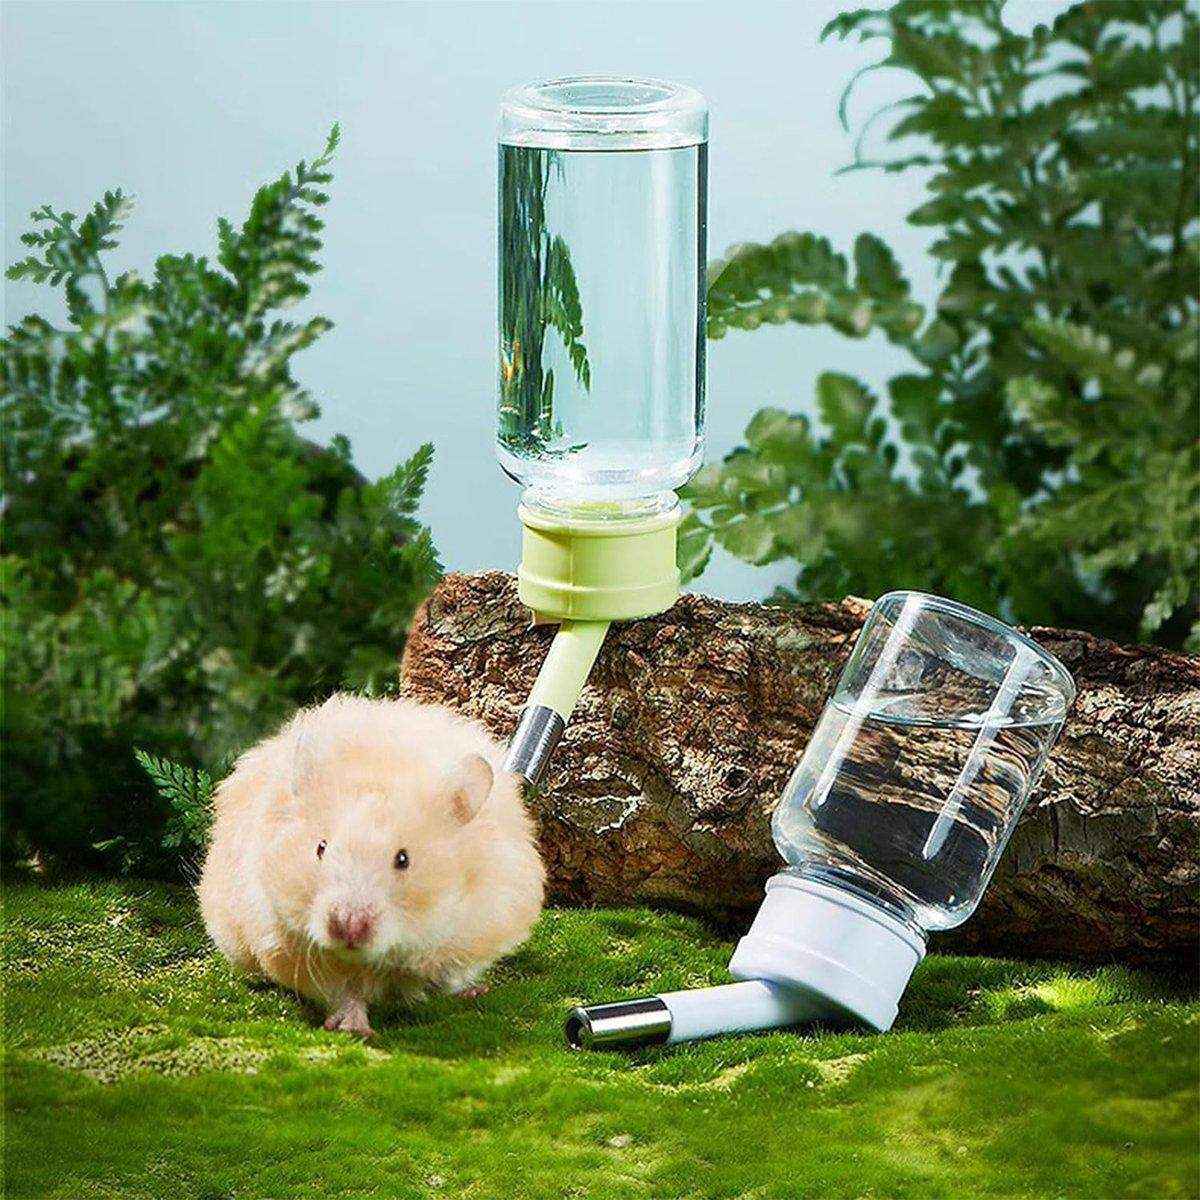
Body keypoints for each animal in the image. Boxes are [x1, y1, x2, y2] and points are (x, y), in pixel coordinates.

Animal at [197, 694, 544, 1037]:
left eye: (403, 859)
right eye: (321, 848)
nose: (347, 927)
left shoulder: (483, 921)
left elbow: (449, 972)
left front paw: (461, 989)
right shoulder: (290, 945)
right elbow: (344, 993)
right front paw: (355, 1029)